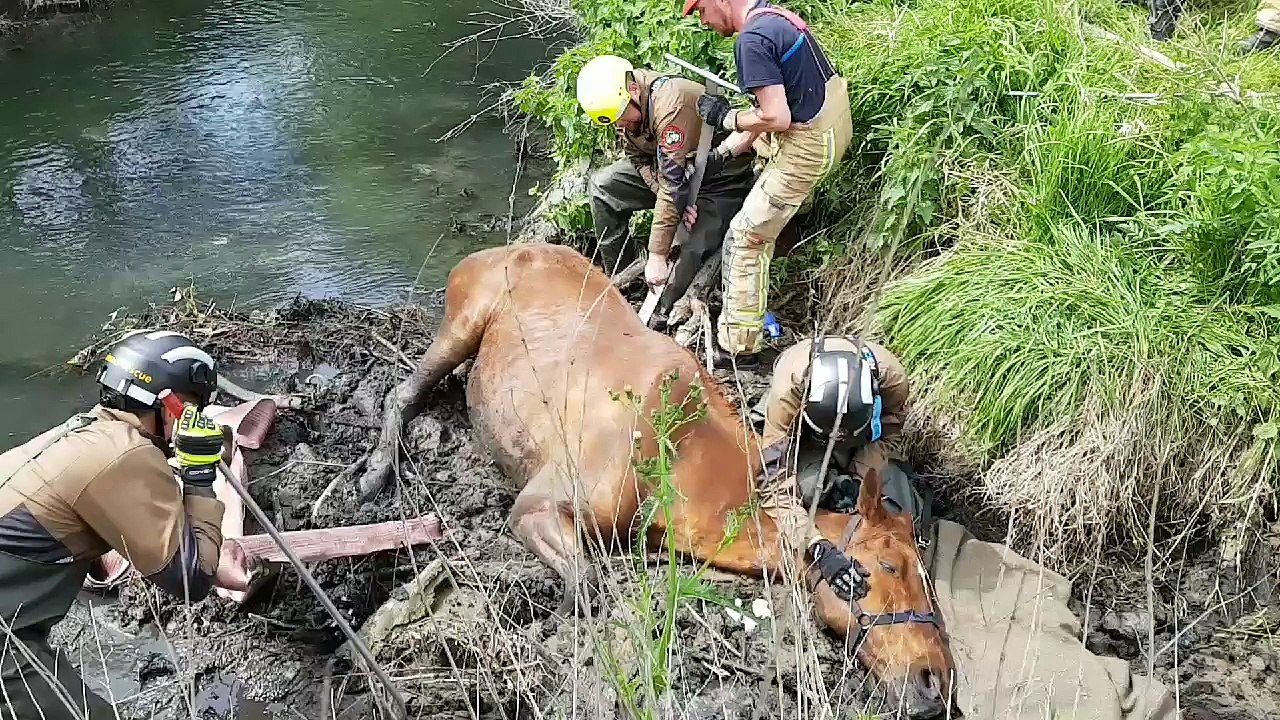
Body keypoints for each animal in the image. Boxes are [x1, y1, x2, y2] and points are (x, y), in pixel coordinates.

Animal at [357, 243, 953, 718]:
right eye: (888, 565)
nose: (936, 682)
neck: (688, 480)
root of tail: (486, 253)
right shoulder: (535, 503)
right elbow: (585, 586)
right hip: (463, 322)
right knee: (402, 394)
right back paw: (371, 476)